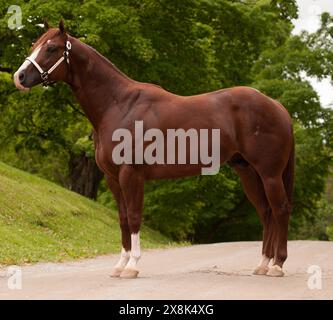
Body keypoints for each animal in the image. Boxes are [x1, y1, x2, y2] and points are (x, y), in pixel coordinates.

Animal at [14, 21, 292, 278]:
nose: (19, 77)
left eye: (51, 48)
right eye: (34, 45)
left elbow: (135, 217)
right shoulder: (113, 178)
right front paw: (120, 265)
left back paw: (277, 265)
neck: (118, 105)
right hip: (248, 173)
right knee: (267, 213)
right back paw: (263, 264)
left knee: (280, 210)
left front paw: (132, 267)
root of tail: (277, 106)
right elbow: (123, 220)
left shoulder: (131, 174)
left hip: (269, 174)